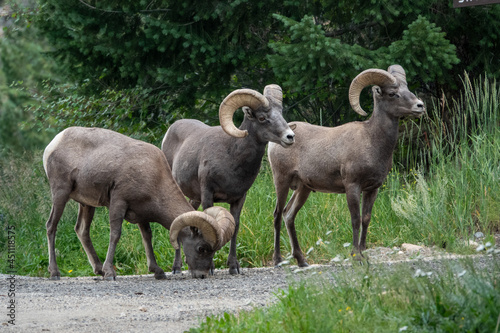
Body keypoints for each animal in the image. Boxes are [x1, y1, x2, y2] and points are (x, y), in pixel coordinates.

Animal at [43, 126, 236, 278]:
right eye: (201, 248)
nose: (202, 275)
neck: (154, 176)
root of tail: (53, 144)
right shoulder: (119, 202)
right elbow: (115, 234)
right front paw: (110, 273)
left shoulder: (141, 213)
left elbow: (147, 237)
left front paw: (158, 271)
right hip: (61, 193)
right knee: (51, 226)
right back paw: (55, 273)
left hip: (86, 203)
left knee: (82, 230)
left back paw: (98, 269)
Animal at [162, 84, 294, 274]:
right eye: (262, 118)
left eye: (281, 113)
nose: (290, 136)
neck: (231, 156)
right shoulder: (208, 194)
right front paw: (210, 268)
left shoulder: (239, 198)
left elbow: (235, 227)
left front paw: (233, 266)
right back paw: (176, 268)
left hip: (194, 198)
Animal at [268, 65, 424, 266]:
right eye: (392, 93)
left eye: (407, 88)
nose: (420, 106)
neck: (372, 140)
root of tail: (284, 136)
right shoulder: (352, 186)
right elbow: (355, 220)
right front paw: (356, 256)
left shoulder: (372, 189)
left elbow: (366, 219)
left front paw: (364, 254)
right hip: (282, 181)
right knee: (278, 214)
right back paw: (278, 260)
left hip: (303, 189)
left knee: (289, 215)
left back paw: (302, 261)